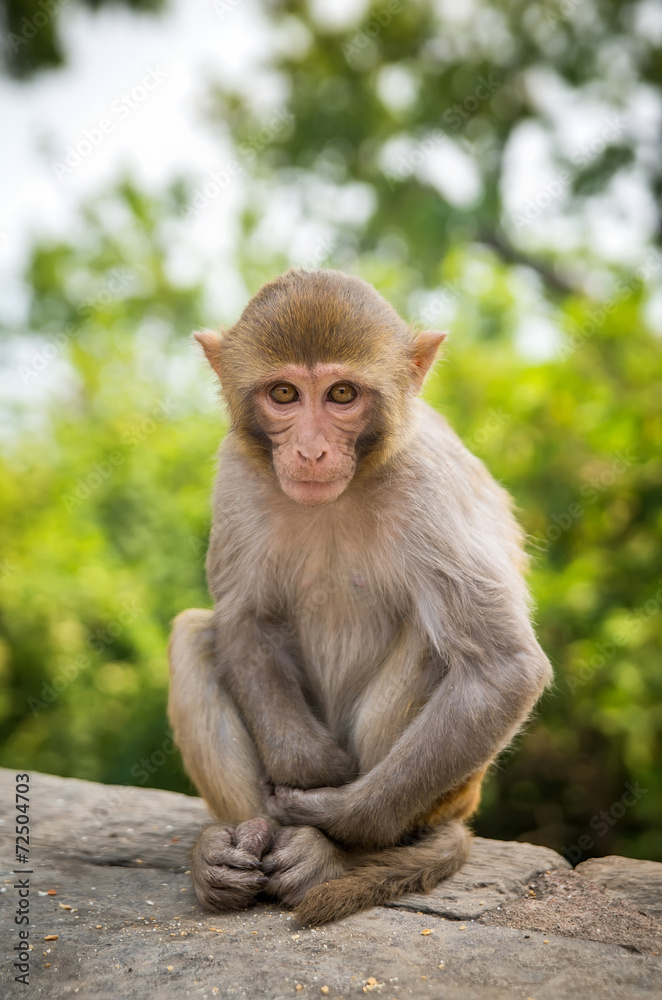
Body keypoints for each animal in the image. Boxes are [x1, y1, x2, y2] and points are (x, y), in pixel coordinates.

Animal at [167, 266, 556, 920]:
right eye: (284, 395)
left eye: (342, 395)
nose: (310, 450)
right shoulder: (238, 474)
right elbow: (246, 621)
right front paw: (311, 766)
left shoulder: (427, 482)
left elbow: (503, 667)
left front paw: (337, 813)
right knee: (197, 632)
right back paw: (232, 846)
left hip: (446, 798)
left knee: (437, 641)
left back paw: (333, 855)